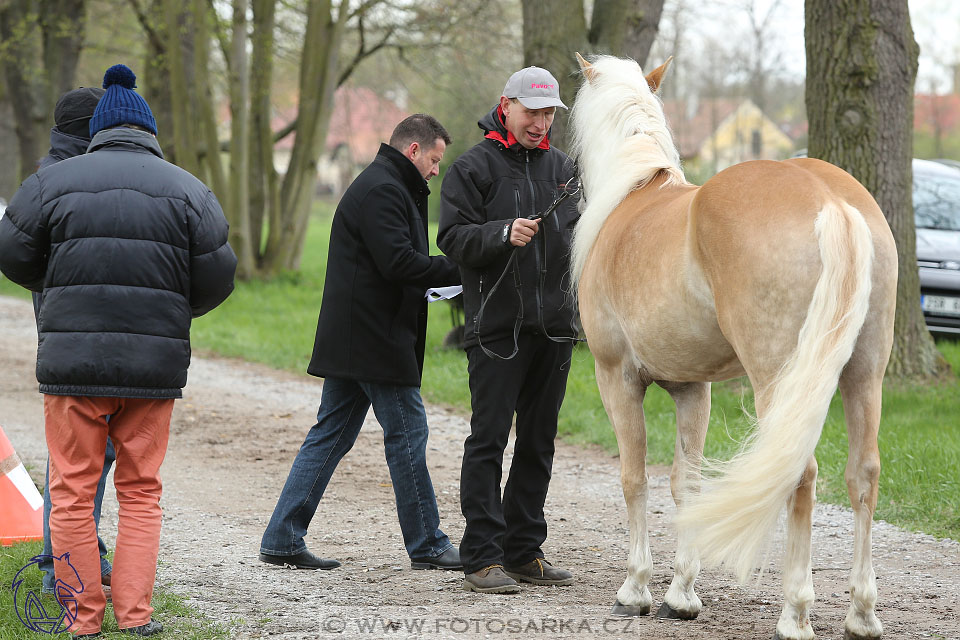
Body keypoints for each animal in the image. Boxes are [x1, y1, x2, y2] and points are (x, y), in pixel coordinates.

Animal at [568, 53, 896, 640]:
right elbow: (686, 485)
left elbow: (633, 478)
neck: (633, 197)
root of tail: (829, 199)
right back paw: (861, 613)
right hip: (864, 375)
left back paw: (795, 613)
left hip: (778, 381)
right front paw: (681, 594)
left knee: (799, 473)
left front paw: (636, 589)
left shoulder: (616, 377)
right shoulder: (692, 389)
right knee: (864, 474)